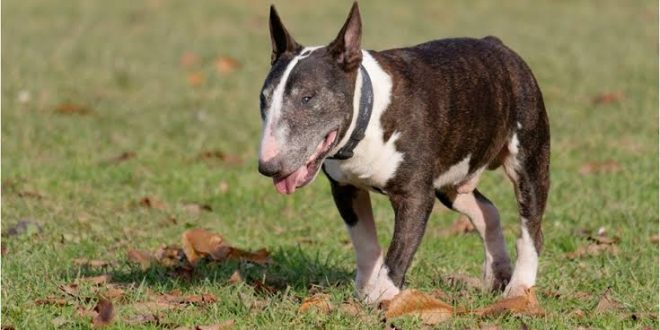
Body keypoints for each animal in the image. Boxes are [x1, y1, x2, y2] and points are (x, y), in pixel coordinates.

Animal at [255, 1, 548, 304]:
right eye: (264, 99)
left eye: (308, 98)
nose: (268, 167)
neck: (368, 116)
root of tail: (496, 44)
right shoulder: (345, 190)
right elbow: (365, 242)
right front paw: (363, 291)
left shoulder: (415, 195)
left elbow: (400, 249)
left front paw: (382, 295)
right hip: (451, 180)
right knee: (487, 211)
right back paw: (497, 274)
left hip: (528, 160)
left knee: (531, 228)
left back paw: (519, 287)